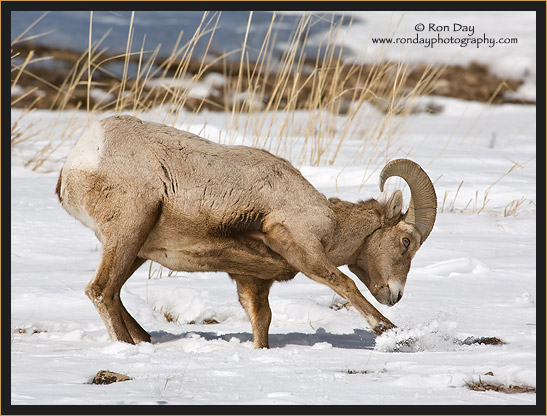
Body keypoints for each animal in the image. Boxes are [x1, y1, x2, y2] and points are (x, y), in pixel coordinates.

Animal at [56, 116, 436, 348]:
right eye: (406, 242)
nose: (396, 295)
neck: (331, 221)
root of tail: (80, 158)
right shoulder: (301, 246)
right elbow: (344, 283)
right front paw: (390, 332)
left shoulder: (251, 281)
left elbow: (262, 320)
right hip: (129, 230)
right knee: (102, 291)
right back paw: (128, 347)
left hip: (135, 248)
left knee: (114, 292)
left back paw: (143, 338)